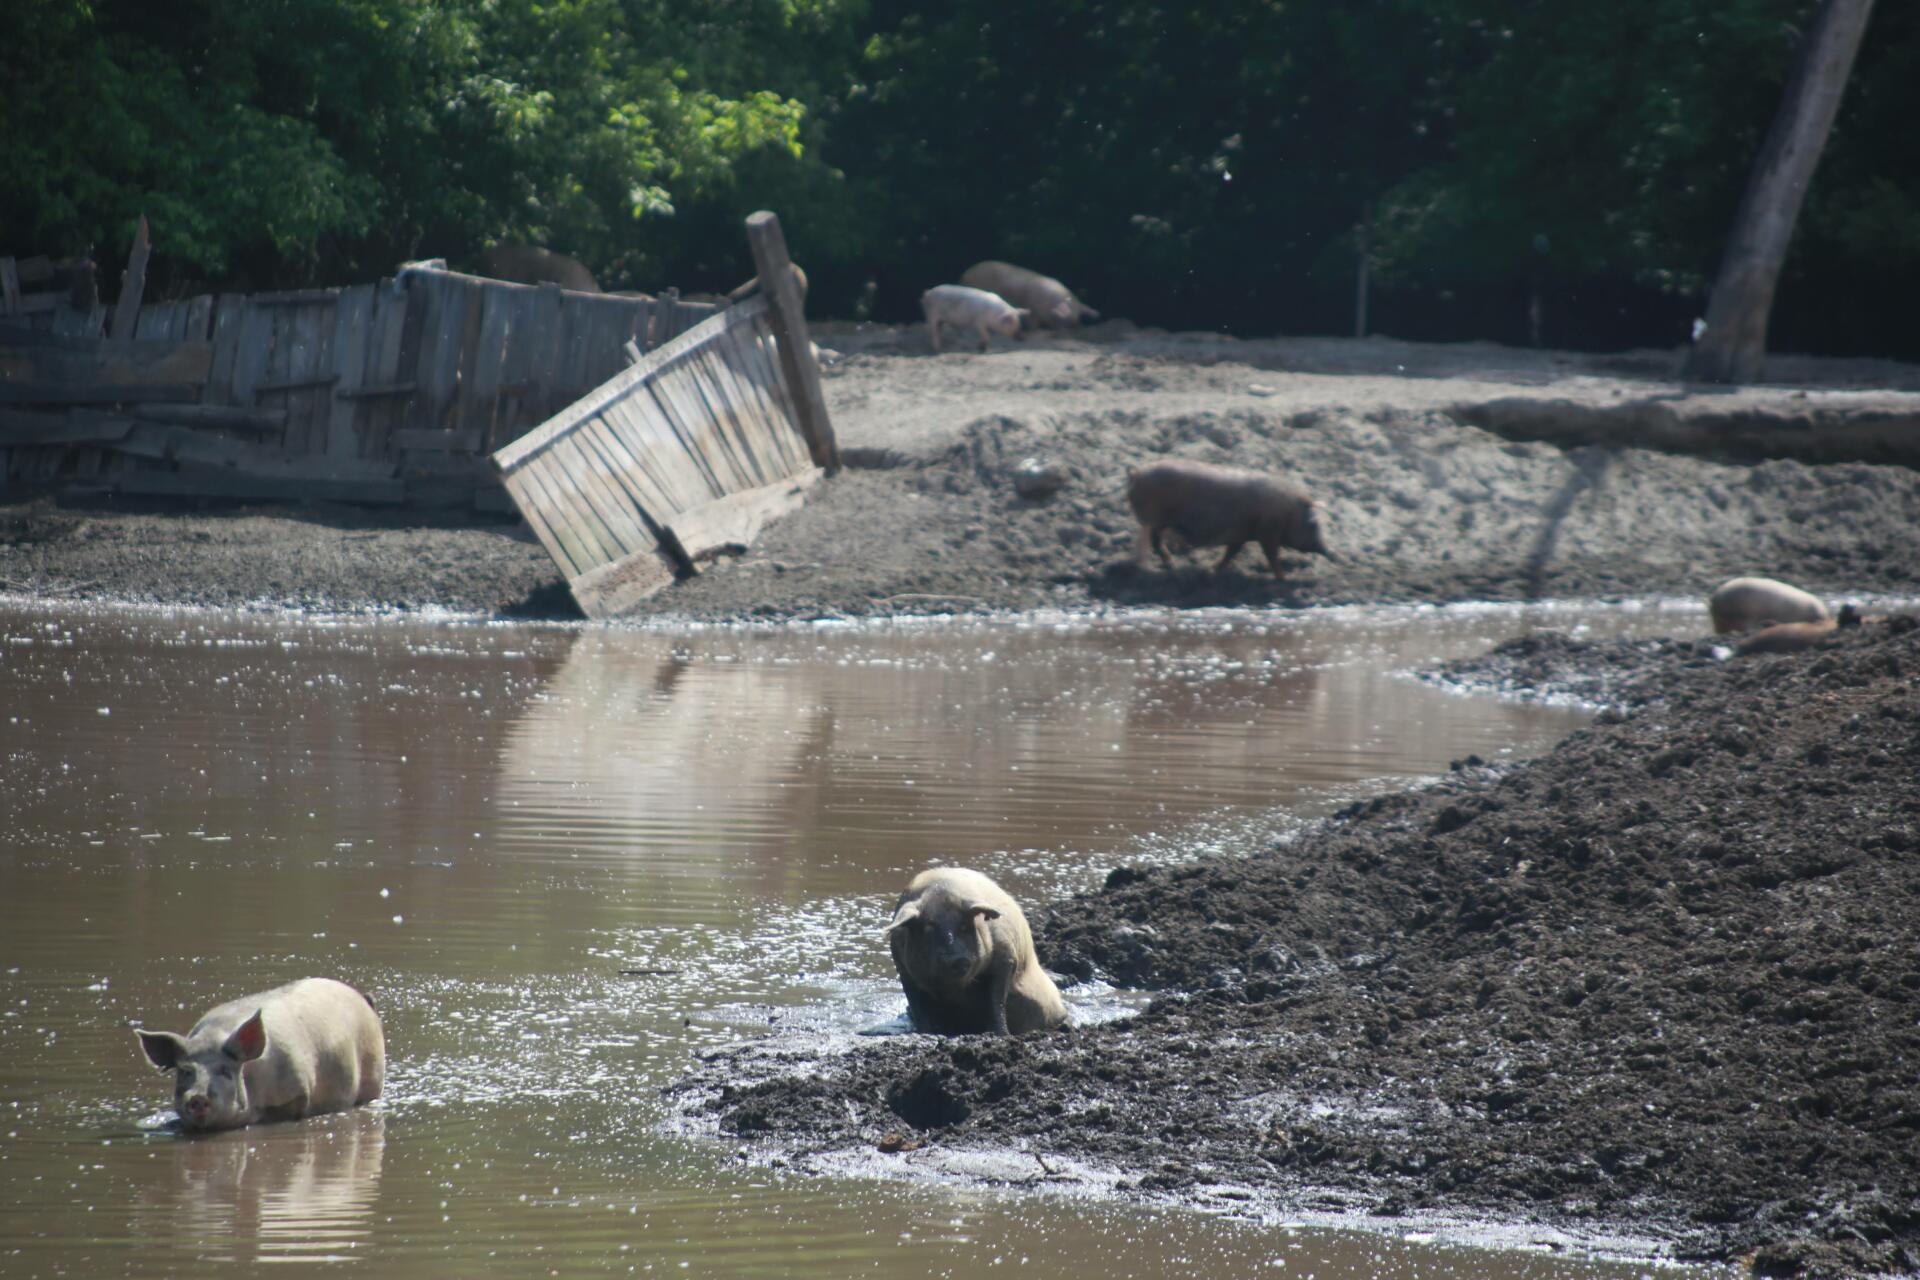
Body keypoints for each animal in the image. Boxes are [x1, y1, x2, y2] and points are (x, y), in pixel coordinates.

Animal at [135, 978, 385, 1132]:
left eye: (225, 1071)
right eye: (186, 1071)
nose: (197, 1096)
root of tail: (363, 999)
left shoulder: (297, 1089)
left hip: (372, 1073)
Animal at [886, 867, 1068, 1036]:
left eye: (965, 926)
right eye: (928, 927)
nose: (958, 958)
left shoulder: (1007, 958)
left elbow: (997, 1002)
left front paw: (1003, 1035)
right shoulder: (904, 971)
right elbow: (918, 1006)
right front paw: (926, 1033)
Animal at [959, 261, 1099, 329]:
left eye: (1078, 319)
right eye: (1067, 320)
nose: (1076, 329)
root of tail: (965, 274)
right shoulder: (1033, 310)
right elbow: (1033, 325)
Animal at [1126, 458, 1334, 577]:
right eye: (1313, 524)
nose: (1331, 552)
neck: (1290, 511)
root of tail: (1137, 473)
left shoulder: (1240, 534)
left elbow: (1231, 552)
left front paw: (1213, 570)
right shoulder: (1268, 533)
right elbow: (1271, 556)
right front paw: (1282, 578)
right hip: (1155, 518)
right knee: (1152, 540)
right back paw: (1164, 566)